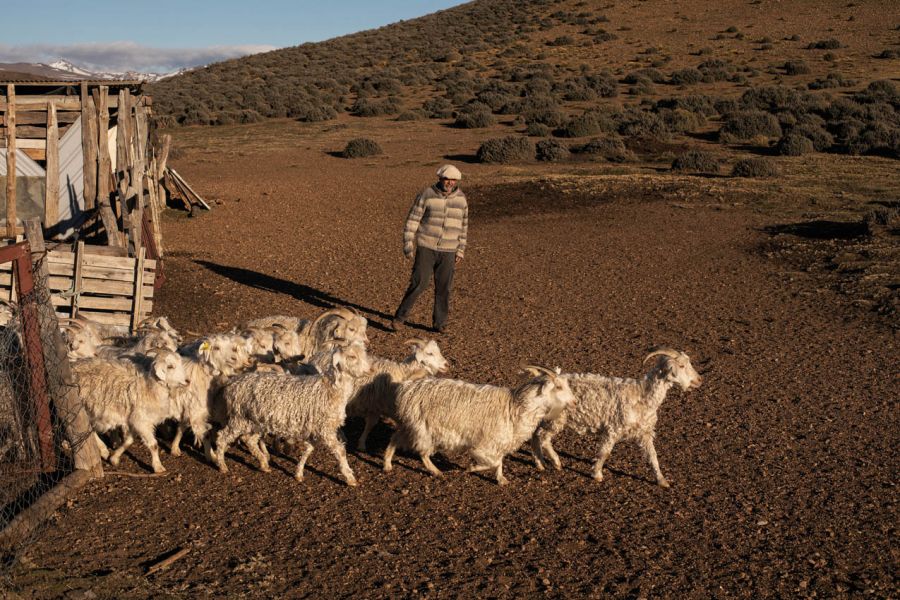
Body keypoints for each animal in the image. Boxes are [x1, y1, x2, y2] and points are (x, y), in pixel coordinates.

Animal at [214, 342, 372, 488]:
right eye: (352, 356)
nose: (370, 369)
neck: (330, 390)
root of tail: (233, 383)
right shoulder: (325, 429)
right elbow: (340, 451)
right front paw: (350, 478)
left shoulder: (315, 428)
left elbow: (309, 449)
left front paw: (298, 473)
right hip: (238, 418)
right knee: (222, 437)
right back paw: (222, 466)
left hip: (255, 421)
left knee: (249, 440)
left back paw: (264, 464)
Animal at [384, 364, 572, 486]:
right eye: (558, 386)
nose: (574, 402)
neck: (515, 407)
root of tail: (406, 387)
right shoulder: (483, 445)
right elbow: (493, 461)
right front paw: (472, 467)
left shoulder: (499, 443)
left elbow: (499, 461)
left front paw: (501, 480)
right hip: (422, 429)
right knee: (422, 452)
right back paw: (435, 471)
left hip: (410, 425)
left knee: (395, 438)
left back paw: (387, 464)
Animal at [536, 350, 704, 486]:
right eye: (681, 366)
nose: (699, 380)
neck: (641, 395)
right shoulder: (613, 428)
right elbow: (605, 453)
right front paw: (597, 474)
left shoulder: (646, 432)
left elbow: (653, 456)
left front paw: (662, 480)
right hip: (555, 419)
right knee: (543, 438)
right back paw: (556, 462)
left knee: (536, 436)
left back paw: (540, 463)